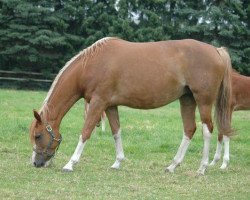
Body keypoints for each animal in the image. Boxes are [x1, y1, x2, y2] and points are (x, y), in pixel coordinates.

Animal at [29, 37, 232, 175]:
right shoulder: (110, 105)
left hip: (203, 100)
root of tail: (216, 50)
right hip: (187, 99)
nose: (36, 163)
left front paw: (70, 163)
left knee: (207, 130)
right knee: (189, 129)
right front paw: (117, 162)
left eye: (38, 136)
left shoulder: (98, 103)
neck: (92, 65)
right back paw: (173, 165)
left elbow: (85, 132)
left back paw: (202, 168)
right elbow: (116, 132)